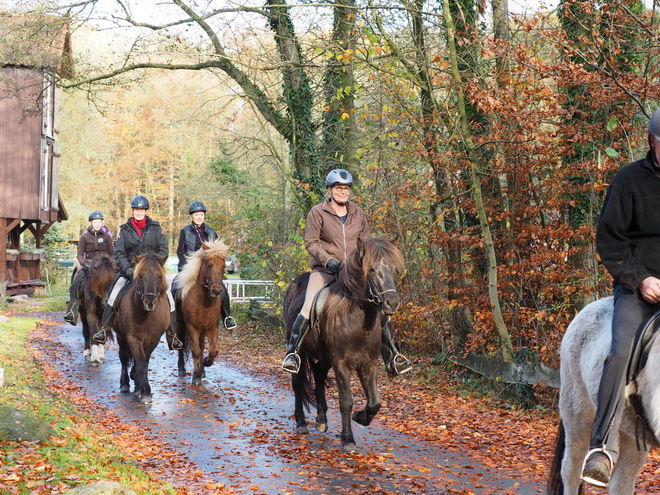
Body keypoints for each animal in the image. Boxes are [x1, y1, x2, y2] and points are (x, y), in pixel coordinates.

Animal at [111, 254, 169, 404]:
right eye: (141, 276)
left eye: (159, 276)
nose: (150, 302)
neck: (146, 315)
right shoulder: (133, 338)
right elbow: (141, 364)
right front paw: (146, 393)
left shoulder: (154, 339)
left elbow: (143, 362)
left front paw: (140, 387)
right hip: (121, 337)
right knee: (124, 357)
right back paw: (125, 384)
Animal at [171, 240, 231, 388]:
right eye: (209, 265)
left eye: (223, 266)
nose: (216, 291)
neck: (204, 301)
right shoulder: (192, 327)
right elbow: (195, 351)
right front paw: (196, 377)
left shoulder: (212, 327)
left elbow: (213, 350)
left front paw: (205, 364)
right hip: (182, 324)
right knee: (182, 346)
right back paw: (182, 369)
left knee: (202, 345)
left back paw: (202, 369)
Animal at [282, 235, 404, 454]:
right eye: (371, 270)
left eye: (393, 268)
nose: (391, 303)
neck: (357, 318)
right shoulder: (341, 364)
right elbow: (346, 401)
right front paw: (348, 439)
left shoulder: (369, 364)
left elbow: (375, 402)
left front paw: (361, 417)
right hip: (300, 350)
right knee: (298, 382)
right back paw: (301, 423)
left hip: (324, 356)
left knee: (319, 375)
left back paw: (321, 419)